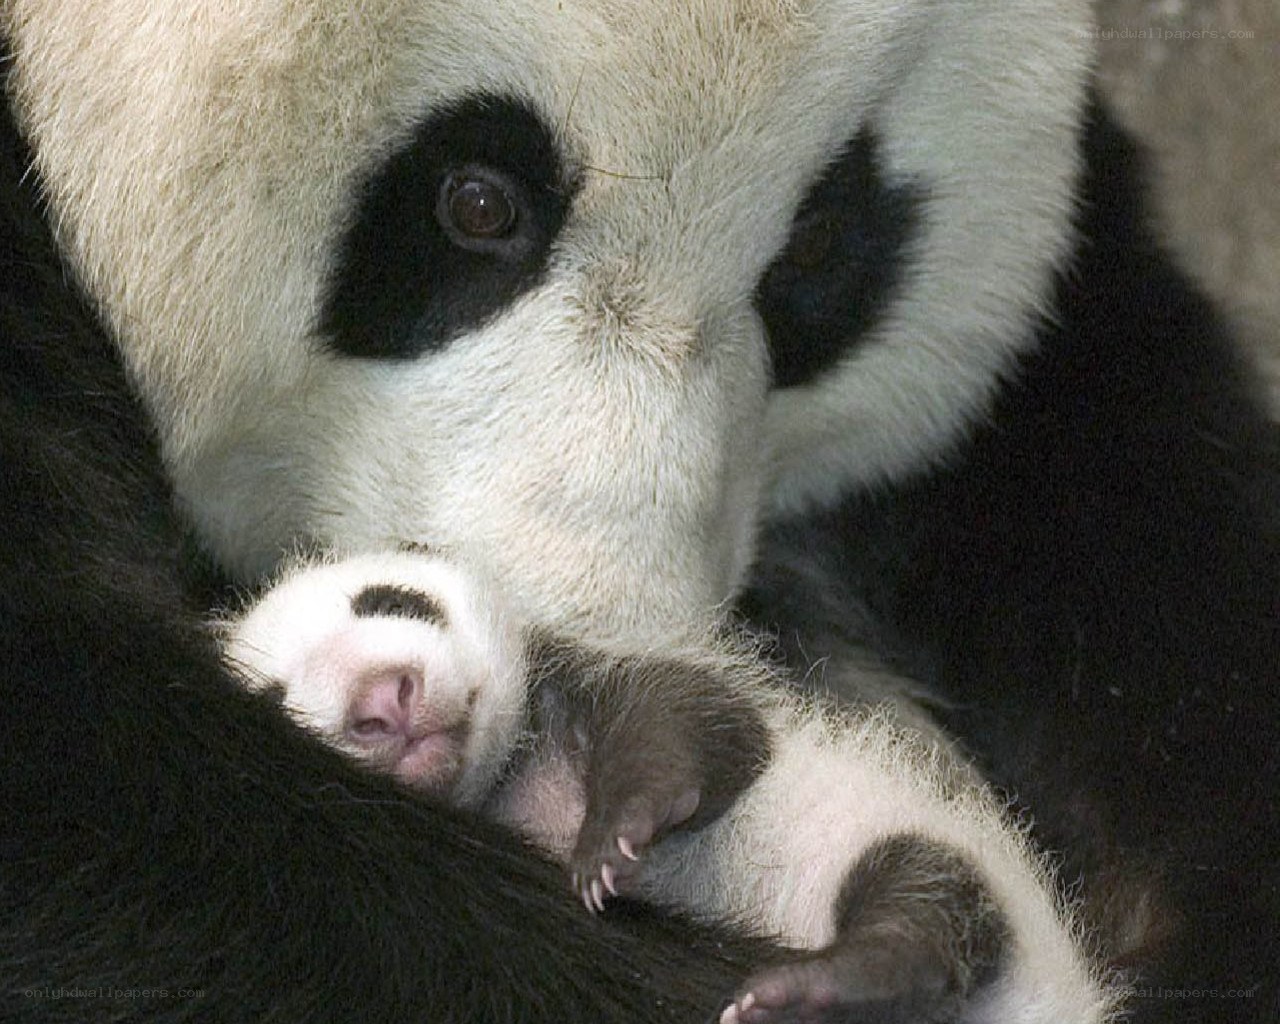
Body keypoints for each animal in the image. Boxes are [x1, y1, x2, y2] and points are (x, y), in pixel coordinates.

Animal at [221, 548, 1116, 1024]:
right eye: (276, 699)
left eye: (392, 600)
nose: (383, 700)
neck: (513, 783)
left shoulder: (583, 678)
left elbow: (694, 728)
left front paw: (612, 839)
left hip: (941, 851)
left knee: (924, 907)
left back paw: (808, 981)